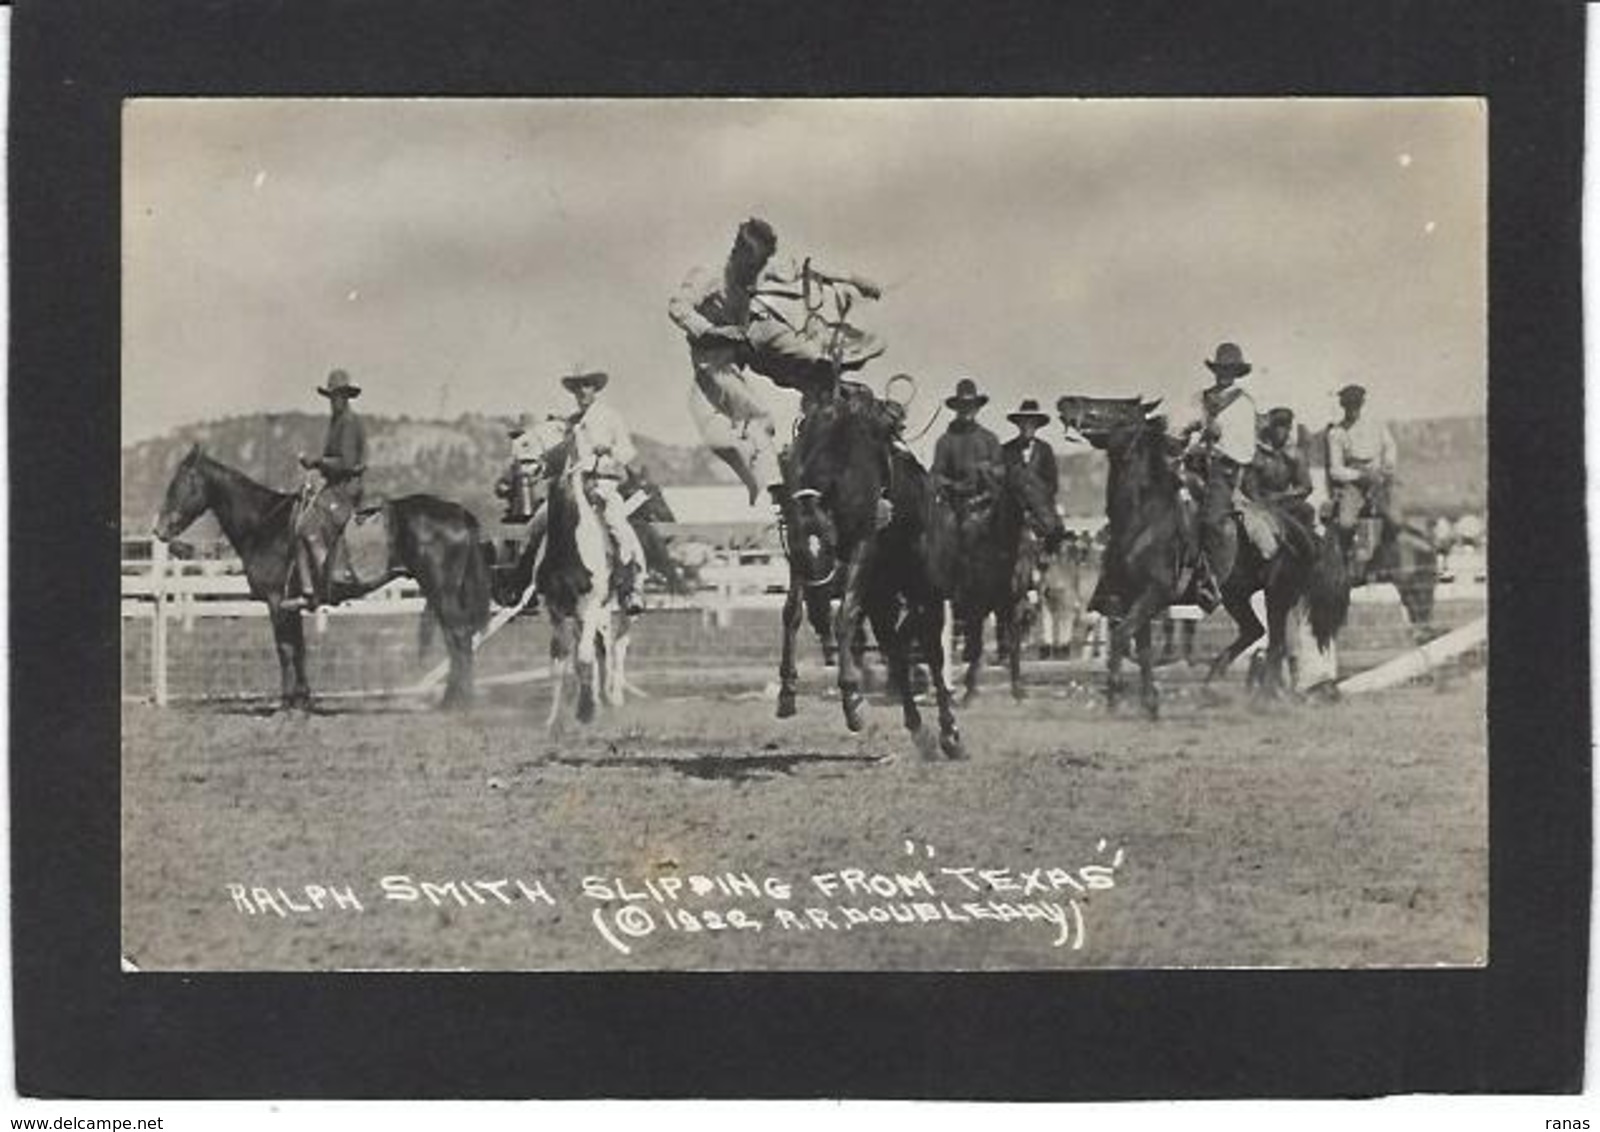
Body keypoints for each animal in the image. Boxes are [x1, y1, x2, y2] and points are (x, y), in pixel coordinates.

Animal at [156, 447, 496, 713]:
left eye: (179, 484)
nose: (160, 531)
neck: (264, 524)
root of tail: (459, 512)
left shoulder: (277, 603)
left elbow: (285, 650)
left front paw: (286, 703)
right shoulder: (290, 605)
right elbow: (299, 649)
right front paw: (302, 700)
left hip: (442, 589)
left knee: (459, 635)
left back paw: (457, 702)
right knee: (456, 638)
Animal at [784, 382, 960, 761]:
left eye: (828, 547)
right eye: (804, 556)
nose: (818, 596)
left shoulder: (863, 545)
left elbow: (845, 617)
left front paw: (852, 701)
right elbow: (790, 613)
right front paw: (786, 691)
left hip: (926, 591)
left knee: (933, 653)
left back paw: (951, 734)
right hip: (883, 597)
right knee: (896, 652)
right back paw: (919, 729)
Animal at [1062, 398, 1350, 716]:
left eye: (1118, 410)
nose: (1066, 402)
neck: (1145, 519)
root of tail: (1298, 531)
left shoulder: (1153, 594)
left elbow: (1122, 637)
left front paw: (1115, 697)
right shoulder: (1131, 597)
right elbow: (1140, 646)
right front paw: (1148, 702)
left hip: (1279, 594)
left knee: (1276, 643)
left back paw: (1261, 698)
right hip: (1236, 596)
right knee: (1254, 631)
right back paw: (1211, 684)